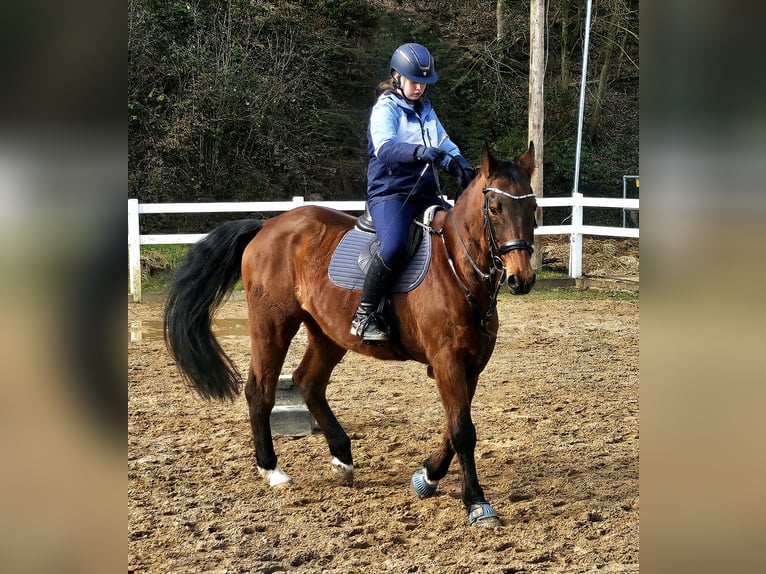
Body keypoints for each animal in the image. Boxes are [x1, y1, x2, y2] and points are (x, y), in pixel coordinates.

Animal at [164, 143, 538, 527]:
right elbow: (463, 431)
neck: (457, 268)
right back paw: (272, 470)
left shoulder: (471, 365)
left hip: (327, 334)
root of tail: (267, 225)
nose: (521, 279)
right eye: (494, 208)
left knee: (308, 382)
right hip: (273, 326)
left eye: (532, 206)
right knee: (260, 390)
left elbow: (453, 427)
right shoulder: (447, 361)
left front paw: (428, 476)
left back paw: (342, 458)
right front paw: (476, 502)